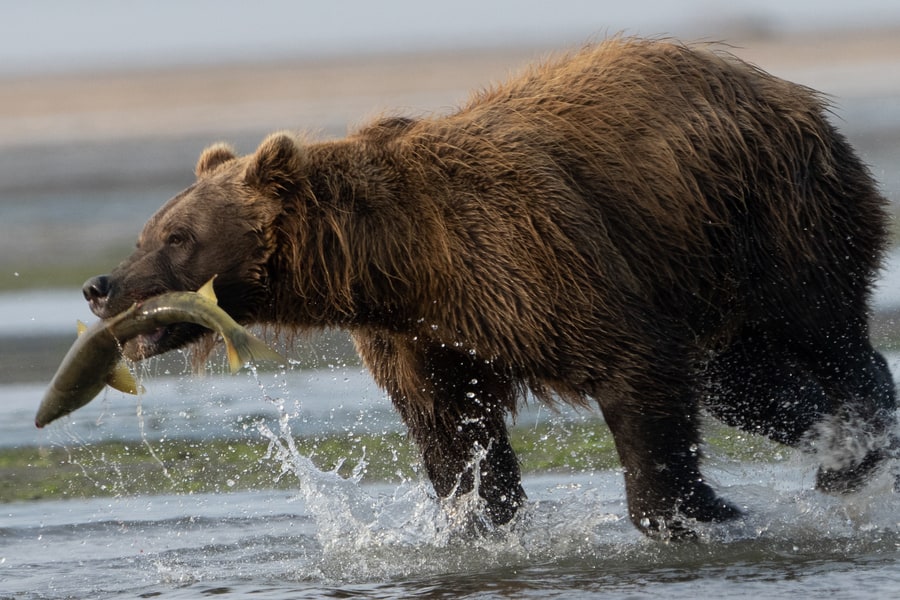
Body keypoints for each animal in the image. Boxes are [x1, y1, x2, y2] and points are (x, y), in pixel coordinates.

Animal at [82, 38, 892, 540]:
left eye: (177, 237)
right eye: (147, 231)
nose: (101, 285)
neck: (402, 264)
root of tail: (785, 89)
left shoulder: (531, 264)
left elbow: (632, 368)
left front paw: (696, 510)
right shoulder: (425, 336)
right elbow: (454, 434)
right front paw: (479, 519)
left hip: (771, 223)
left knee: (826, 332)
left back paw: (856, 443)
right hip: (704, 280)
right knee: (746, 384)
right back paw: (832, 444)